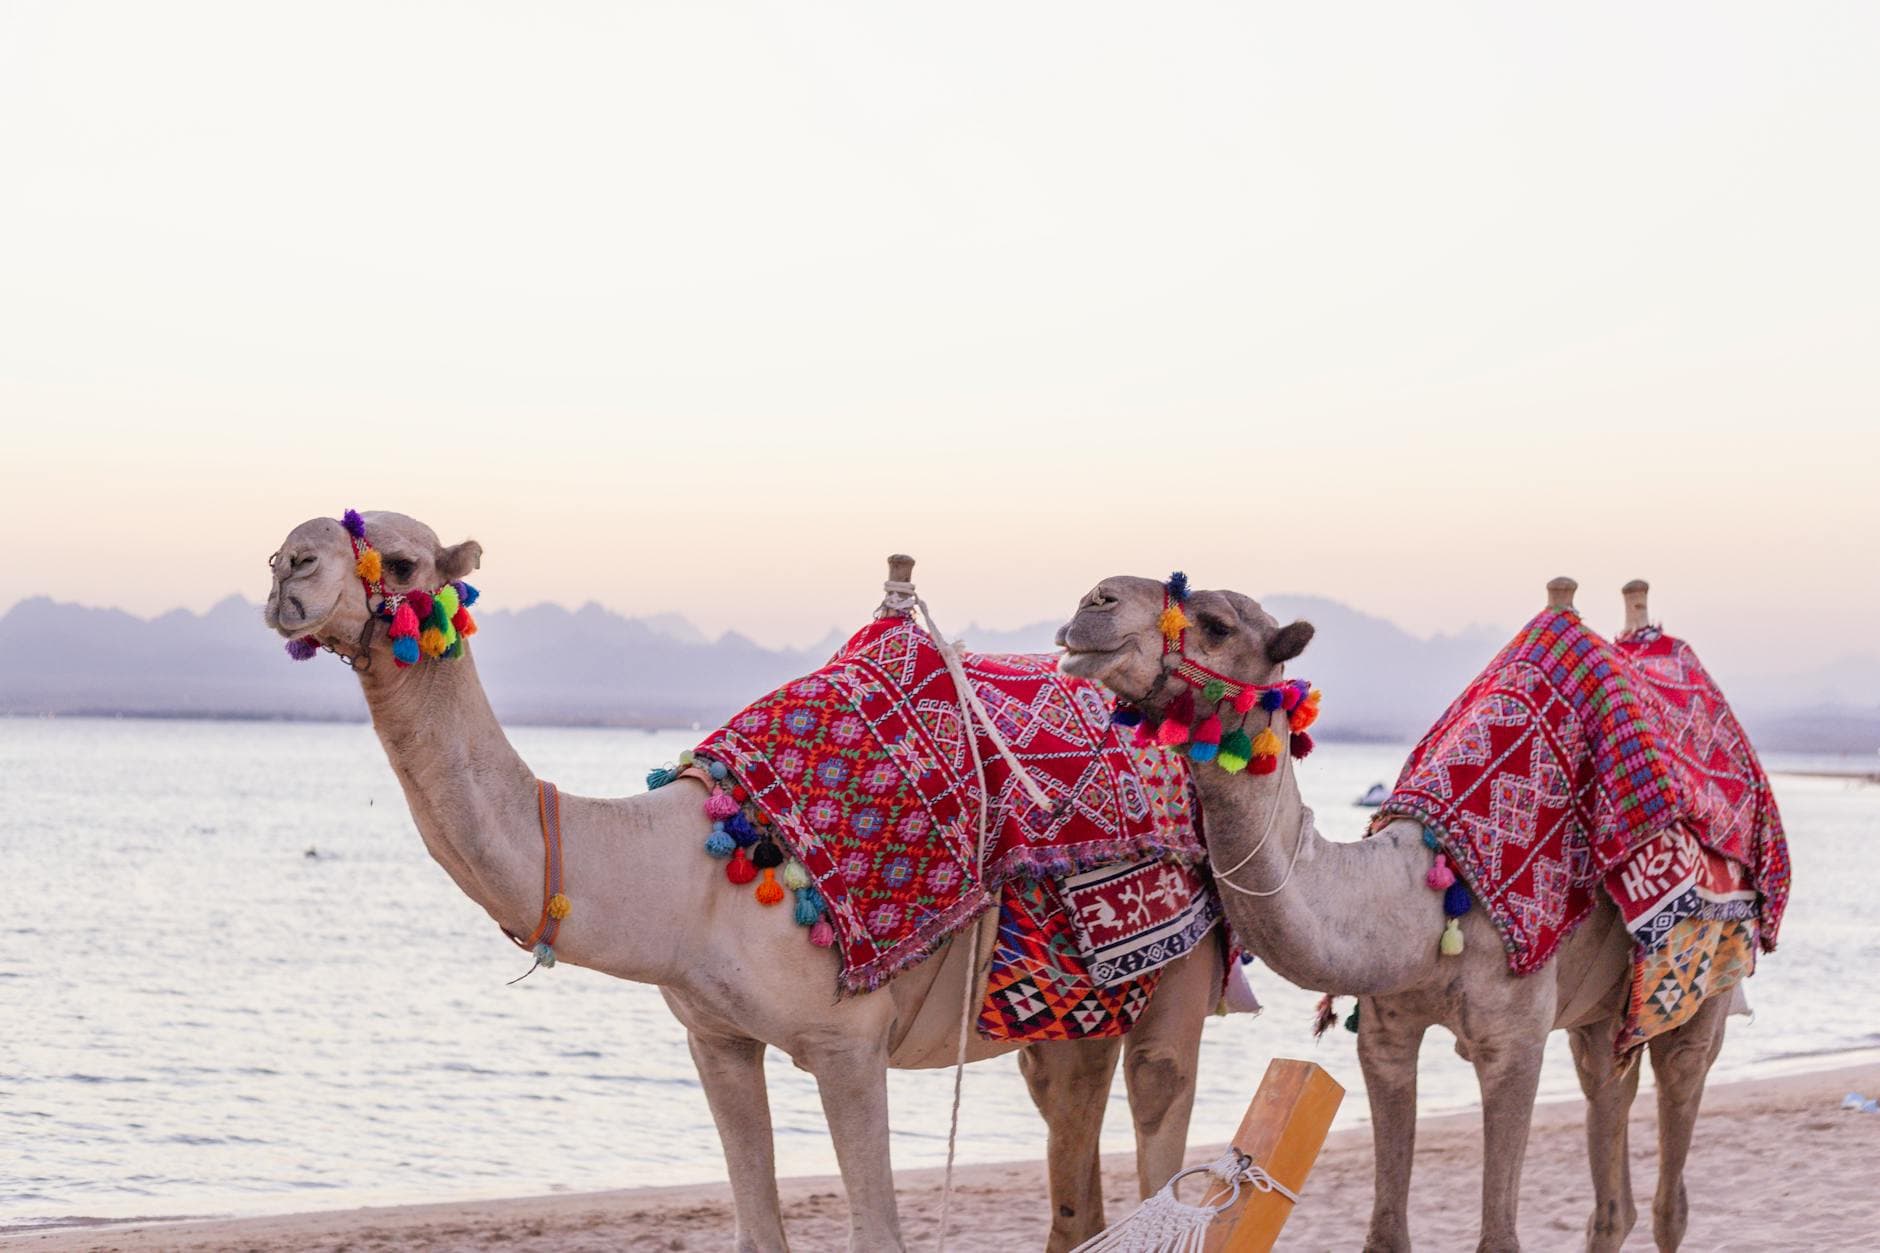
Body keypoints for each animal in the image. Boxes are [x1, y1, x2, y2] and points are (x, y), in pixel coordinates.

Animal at [262, 510, 1222, 1253]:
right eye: (298, 544)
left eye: (405, 561)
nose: (286, 567)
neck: (688, 875)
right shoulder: (714, 1036)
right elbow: (757, 1229)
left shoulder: (847, 1043)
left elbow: (878, 1233)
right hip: (1067, 1017)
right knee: (1073, 1164)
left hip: (1186, 963)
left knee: (1163, 1110)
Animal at [1058, 575, 1738, 1253]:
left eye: (1217, 625)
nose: (1094, 602)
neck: (1430, 903)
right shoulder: (1385, 1035)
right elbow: (1385, 1231)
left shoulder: (1513, 1043)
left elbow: (1499, 1237)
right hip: (1599, 1020)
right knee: (1610, 1147)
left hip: (1702, 991)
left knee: (1673, 1165)